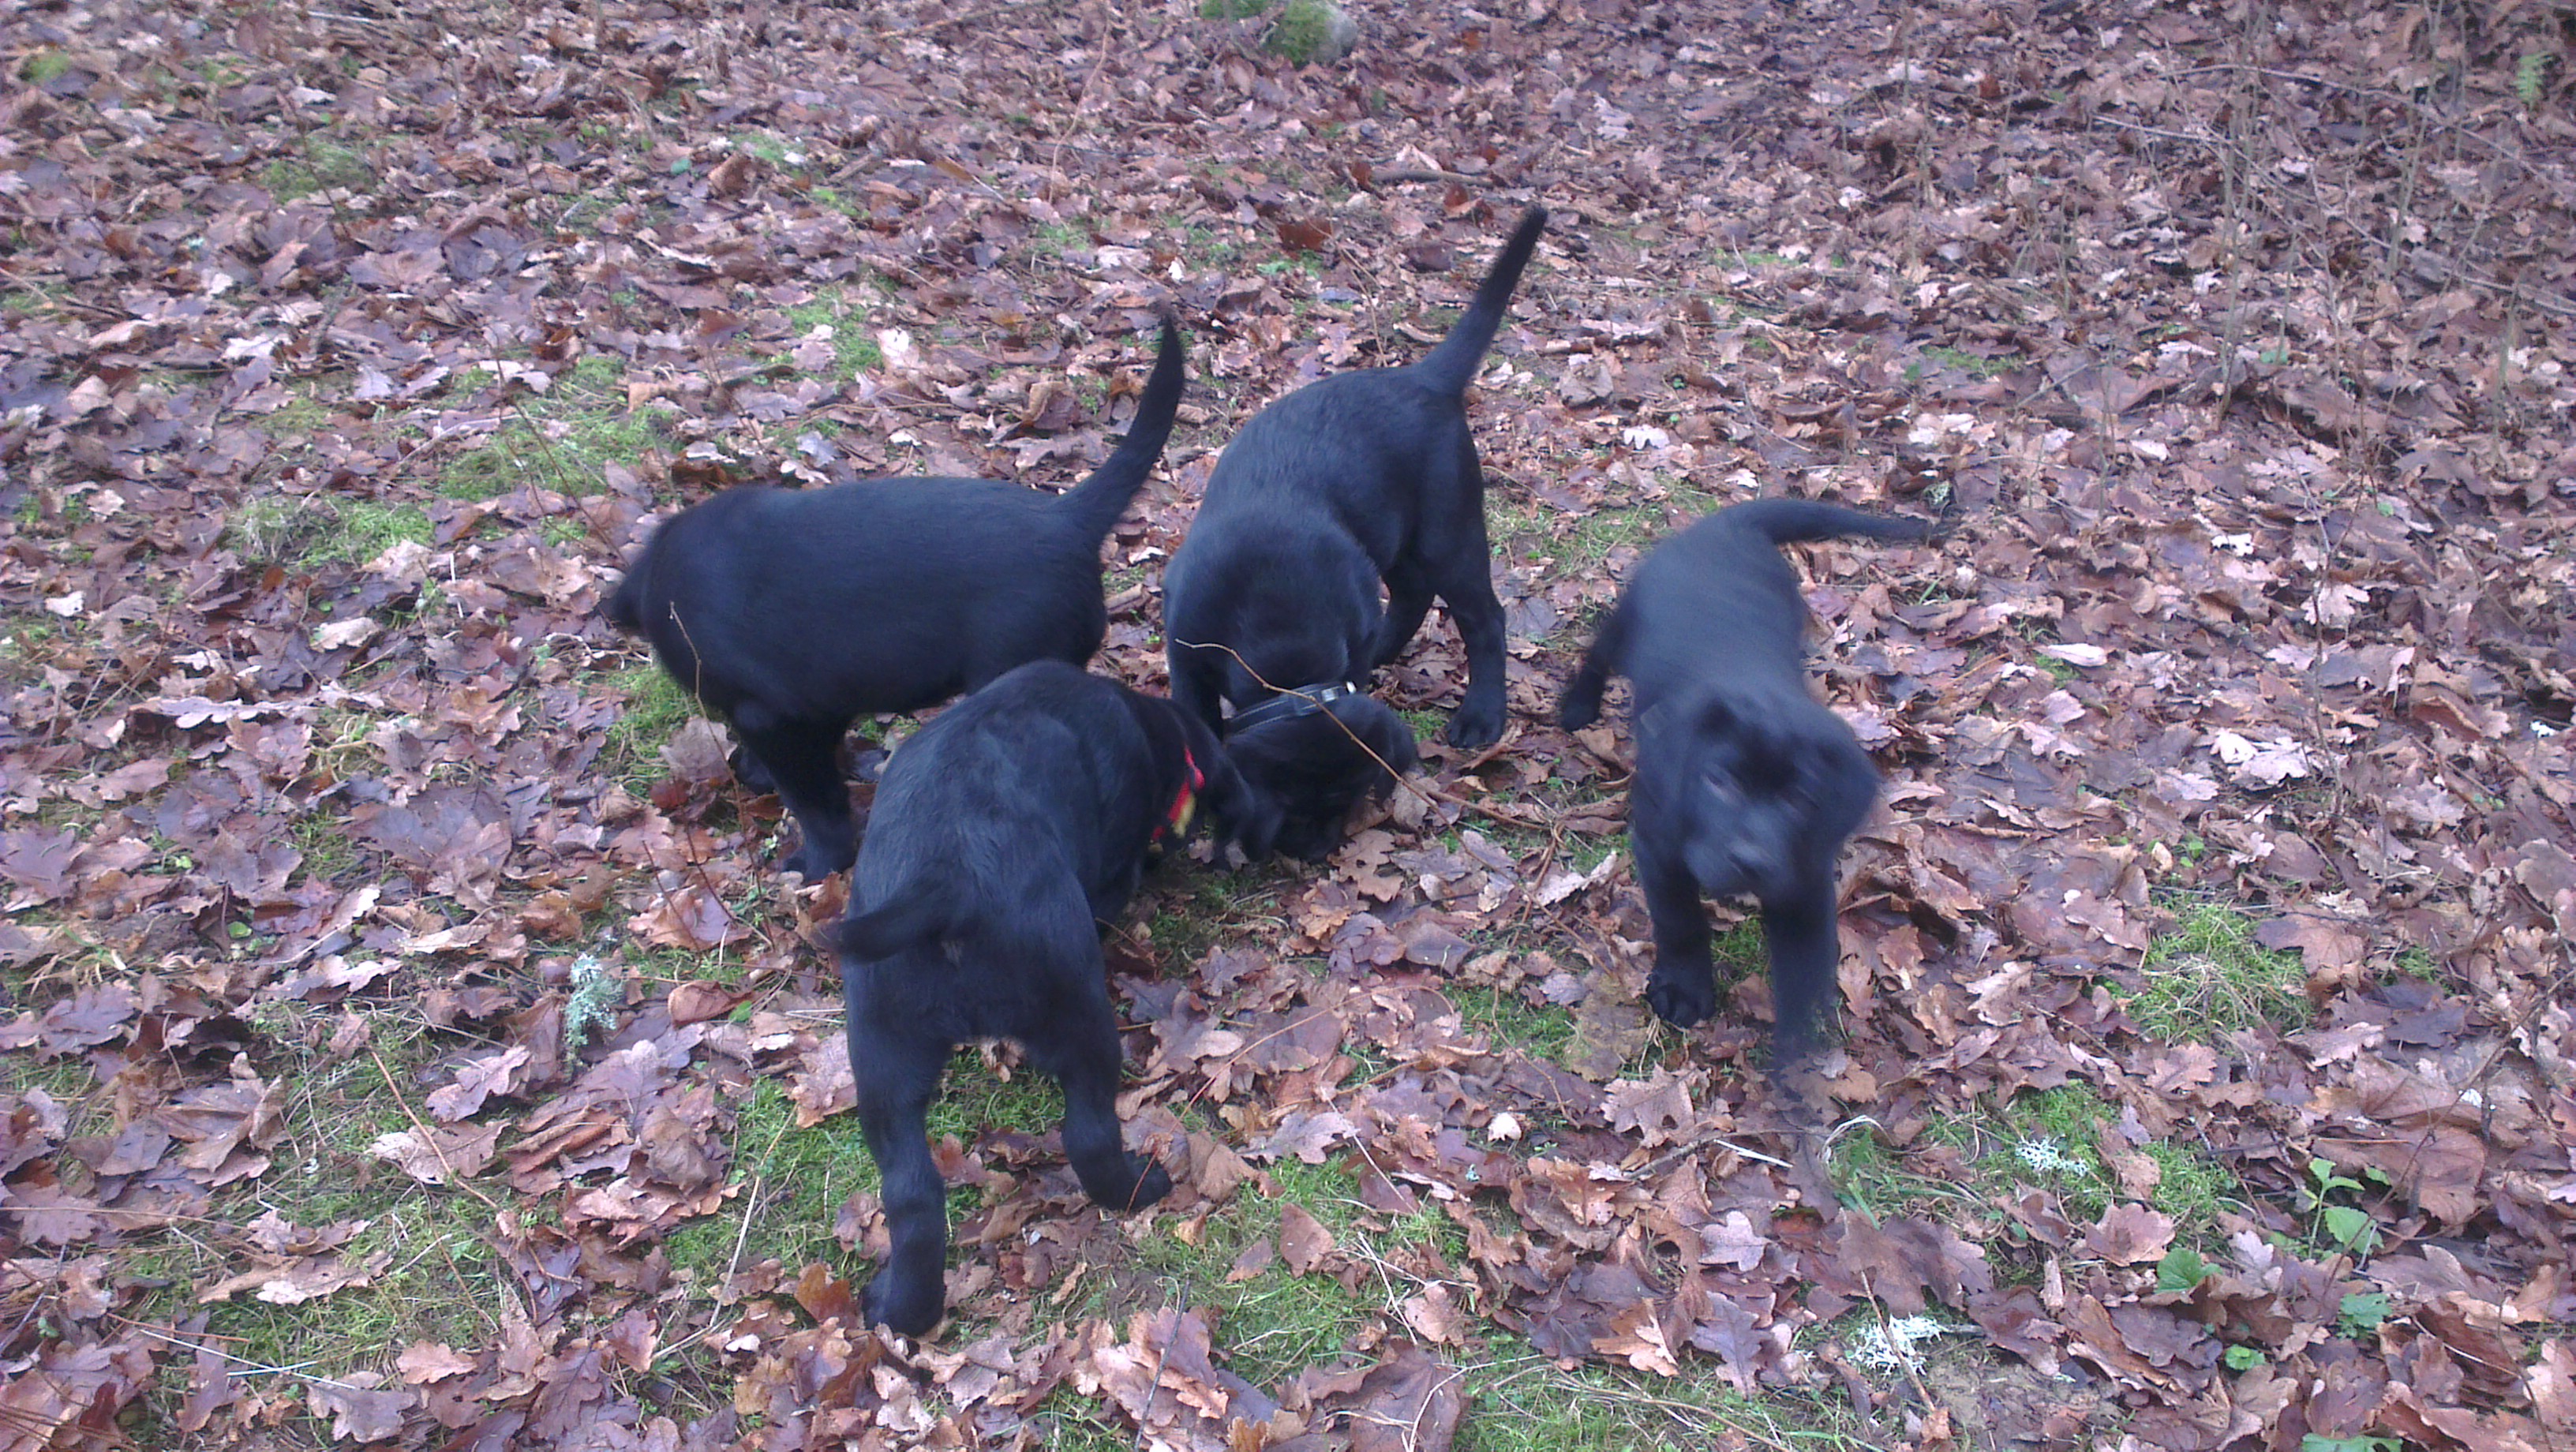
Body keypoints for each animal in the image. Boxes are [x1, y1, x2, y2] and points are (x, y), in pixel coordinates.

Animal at [835, 659, 1274, 1336]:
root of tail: (945, 883)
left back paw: (900, 1309)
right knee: (1089, 1136)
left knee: (911, 1195)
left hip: (880, 1054)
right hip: (1079, 1013)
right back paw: (1140, 1187)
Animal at [1161, 208, 1546, 854]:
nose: (1320, 851)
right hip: (1396, 540)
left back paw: (1481, 716)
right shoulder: (1186, 652)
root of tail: (1425, 378)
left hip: (1450, 530)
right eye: (1297, 806)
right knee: (1414, 593)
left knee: (1484, 619)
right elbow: (1201, 722)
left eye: (1345, 800)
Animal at [1558, 498, 1932, 1062]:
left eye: (1800, 798)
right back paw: (1578, 705)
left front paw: (1799, 1054)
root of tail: (1728, 524)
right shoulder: (1660, 845)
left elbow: (1806, 963)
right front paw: (1685, 990)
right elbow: (1681, 923)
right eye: (1718, 782)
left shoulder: (1804, 870)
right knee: (1598, 656)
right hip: (1627, 621)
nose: (1751, 862)